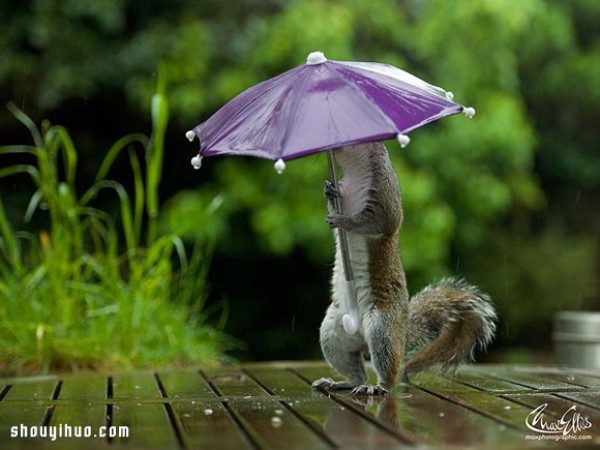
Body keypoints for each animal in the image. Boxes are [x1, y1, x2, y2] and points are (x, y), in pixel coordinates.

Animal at [310, 141, 496, 394]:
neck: (356, 169)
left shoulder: (385, 196)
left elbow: (378, 222)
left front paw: (344, 221)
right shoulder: (346, 195)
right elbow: (336, 205)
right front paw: (329, 191)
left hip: (381, 328)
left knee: (388, 370)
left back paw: (377, 388)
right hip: (332, 333)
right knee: (356, 374)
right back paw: (338, 383)